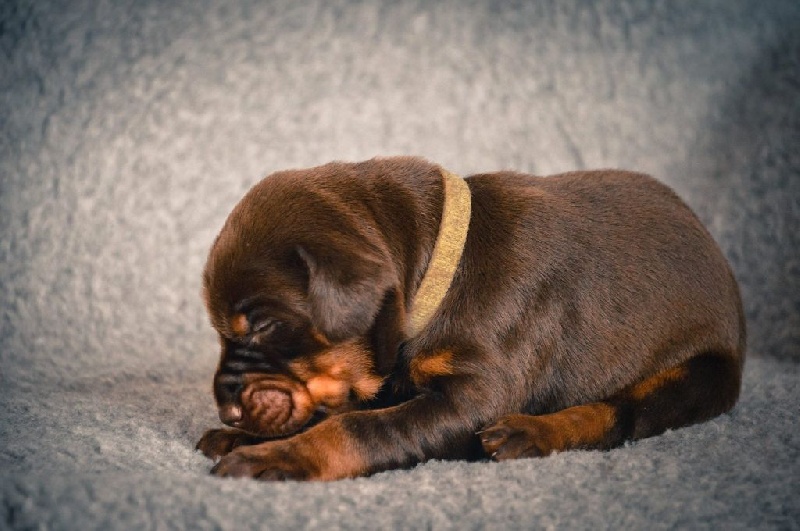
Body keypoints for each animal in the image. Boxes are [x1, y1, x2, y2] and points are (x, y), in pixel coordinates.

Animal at [196, 156, 745, 481]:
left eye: (264, 325)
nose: (228, 413)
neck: (440, 269)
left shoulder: (473, 398)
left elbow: (357, 428)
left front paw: (272, 458)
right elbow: (342, 411)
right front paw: (243, 438)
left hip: (693, 374)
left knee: (620, 415)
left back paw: (528, 434)